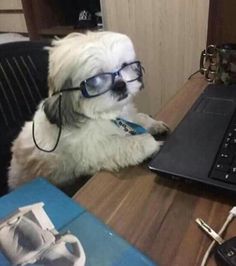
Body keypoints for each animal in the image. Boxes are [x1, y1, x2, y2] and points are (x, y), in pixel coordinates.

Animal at [7, 31, 170, 189]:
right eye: (96, 79)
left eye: (124, 65)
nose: (120, 85)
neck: (107, 116)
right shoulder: (95, 150)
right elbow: (127, 143)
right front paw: (153, 144)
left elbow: (139, 118)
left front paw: (154, 124)